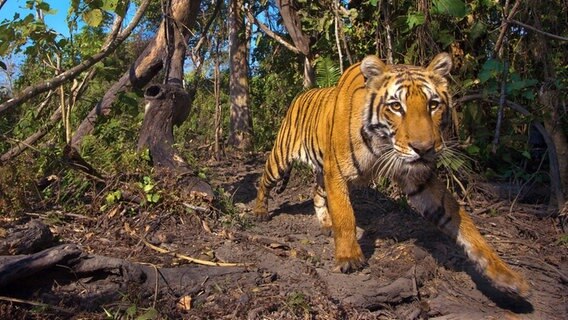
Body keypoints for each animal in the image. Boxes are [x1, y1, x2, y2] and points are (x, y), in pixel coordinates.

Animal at [253, 53, 528, 298]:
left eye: (433, 105)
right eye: (396, 106)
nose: (424, 149)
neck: (383, 144)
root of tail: (301, 95)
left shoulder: (418, 178)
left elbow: (462, 222)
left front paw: (504, 275)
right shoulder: (337, 172)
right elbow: (345, 215)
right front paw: (349, 257)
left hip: (320, 171)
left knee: (316, 193)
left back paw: (325, 224)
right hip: (282, 158)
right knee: (264, 180)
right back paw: (260, 212)